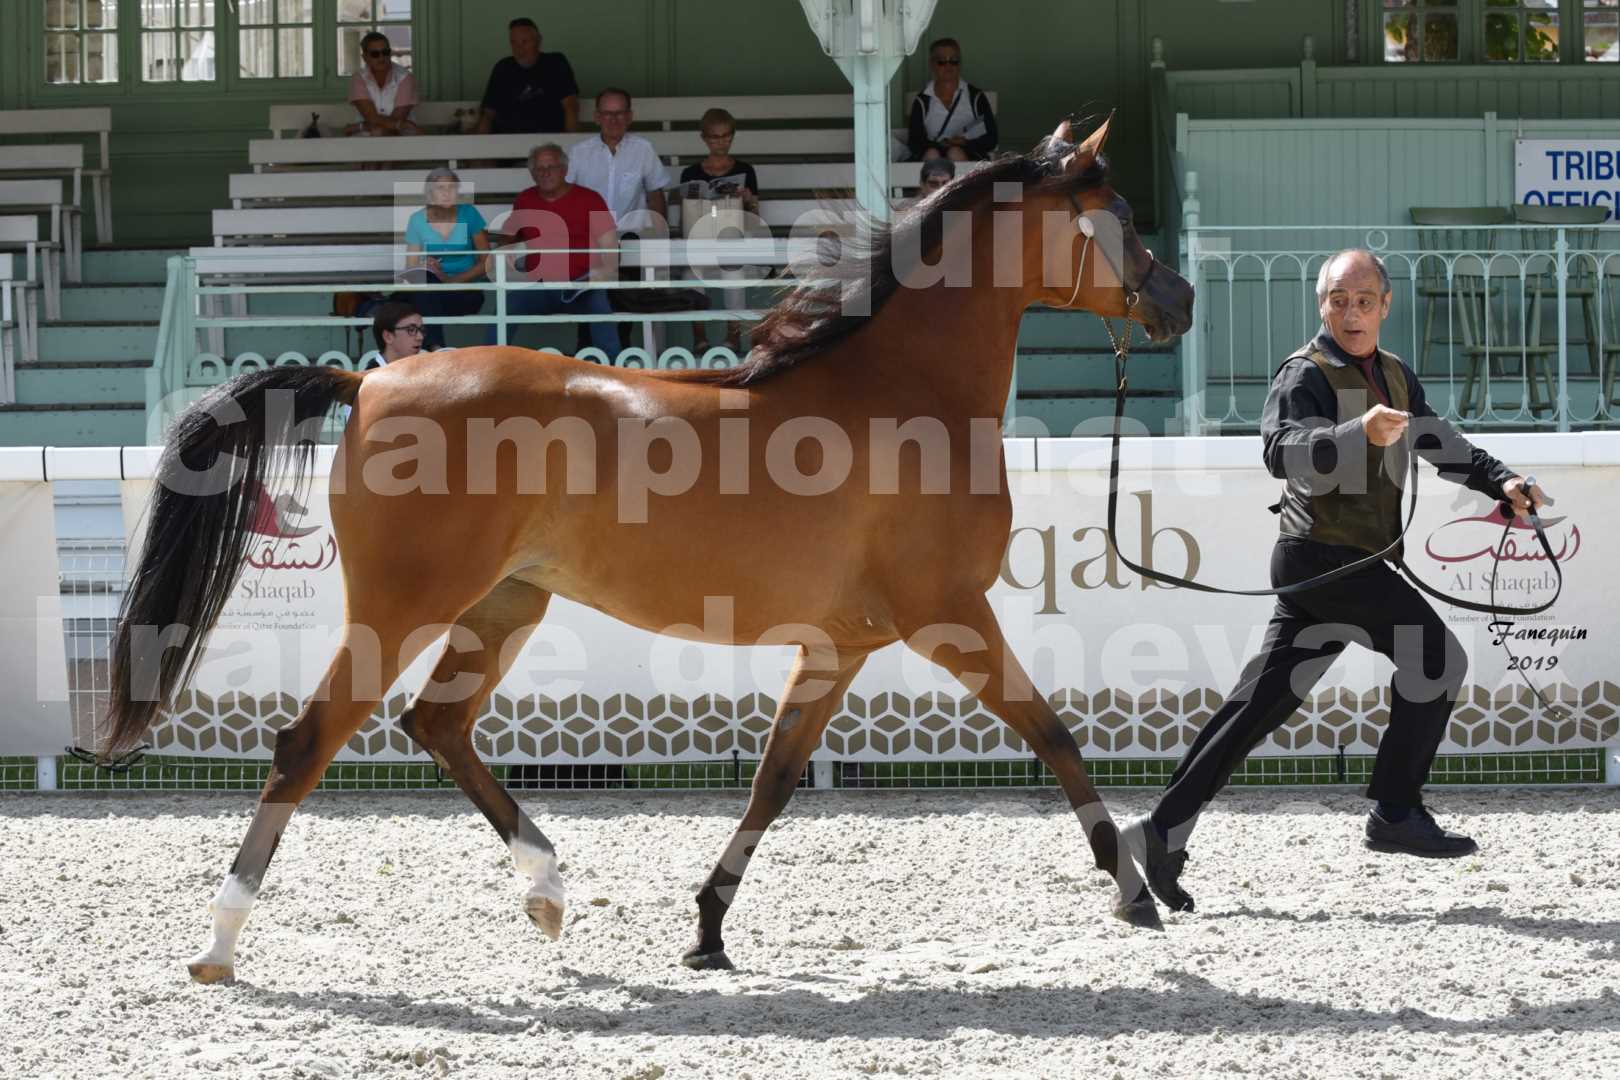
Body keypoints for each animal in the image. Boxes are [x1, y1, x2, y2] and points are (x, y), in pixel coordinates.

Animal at [101, 116, 1192, 977]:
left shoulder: (840, 643)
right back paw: (219, 945)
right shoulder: (949, 616)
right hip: (403, 605)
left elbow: (775, 778)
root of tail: (368, 382)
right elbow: (1054, 733)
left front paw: (707, 927)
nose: (1175, 299)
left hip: (507, 601)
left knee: (436, 724)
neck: (902, 390)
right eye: (1119, 214)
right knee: (309, 741)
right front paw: (1135, 890)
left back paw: (546, 891)